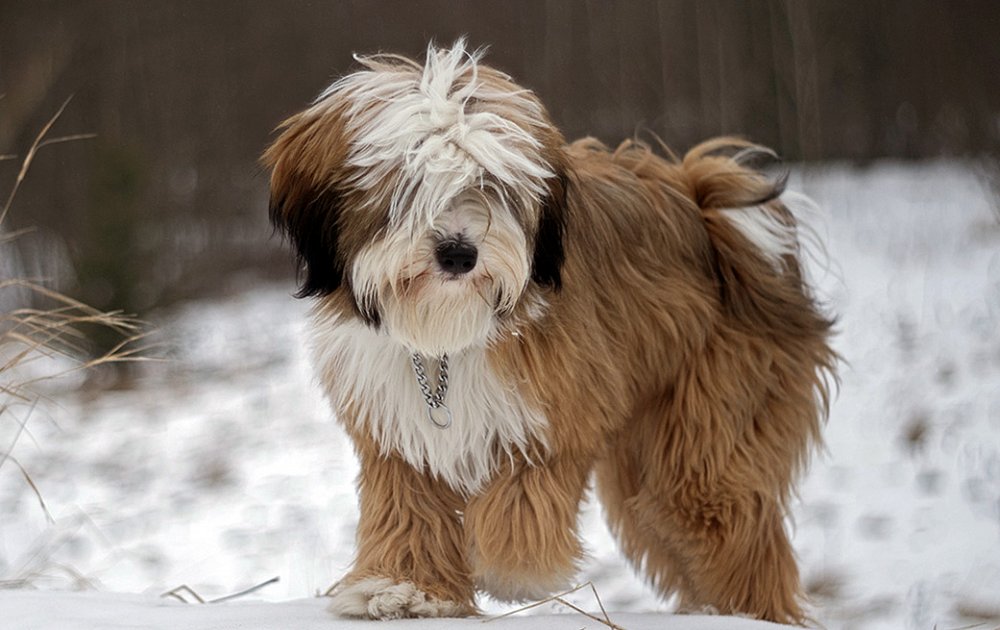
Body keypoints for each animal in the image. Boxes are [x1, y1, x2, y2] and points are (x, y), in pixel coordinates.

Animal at [262, 40, 832, 628]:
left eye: (489, 186)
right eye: (407, 183)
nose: (459, 254)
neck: (446, 338)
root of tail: (709, 210)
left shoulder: (556, 411)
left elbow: (524, 493)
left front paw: (513, 567)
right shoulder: (398, 432)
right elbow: (409, 507)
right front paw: (407, 590)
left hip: (713, 419)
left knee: (722, 516)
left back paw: (748, 611)